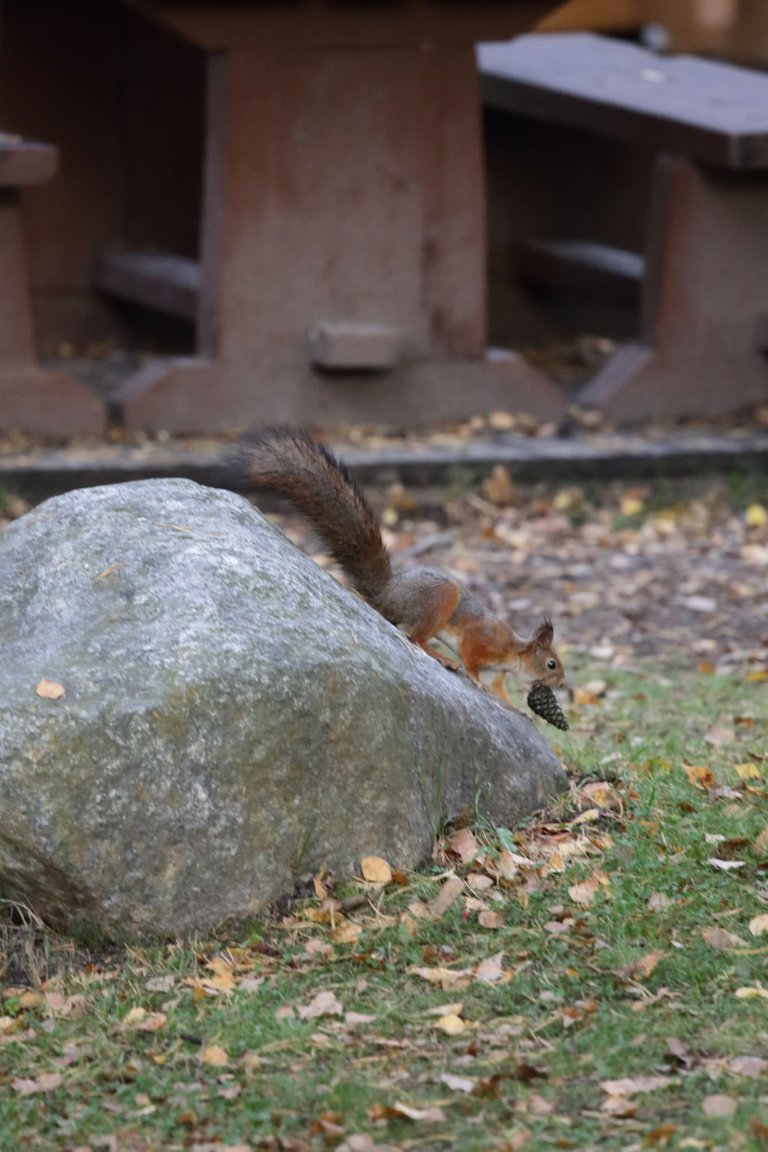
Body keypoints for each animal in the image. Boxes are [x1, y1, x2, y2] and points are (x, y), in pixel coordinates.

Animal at [240, 430, 564, 705]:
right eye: (551, 663)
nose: (561, 683)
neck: (512, 651)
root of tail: (387, 592)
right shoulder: (479, 637)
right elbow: (471, 658)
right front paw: (475, 679)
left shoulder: (500, 675)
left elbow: (502, 694)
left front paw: (519, 710)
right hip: (441, 598)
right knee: (415, 637)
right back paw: (442, 657)